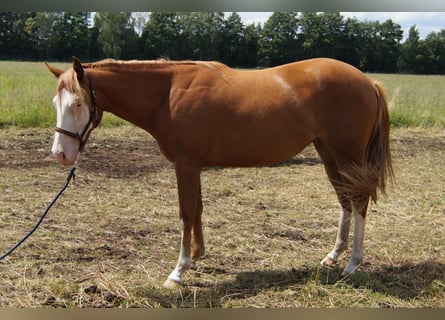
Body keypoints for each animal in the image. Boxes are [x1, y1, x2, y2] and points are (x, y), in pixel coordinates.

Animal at [46, 57, 392, 288]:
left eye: (78, 104)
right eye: (55, 103)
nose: (61, 154)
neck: (168, 94)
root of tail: (368, 82)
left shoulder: (186, 164)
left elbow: (186, 213)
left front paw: (178, 271)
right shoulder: (194, 164)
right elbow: (198, 209)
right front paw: (197, 255)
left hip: (348, 156)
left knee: (359, 202)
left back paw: (352, 264)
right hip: (328, 153)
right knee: (345, 200)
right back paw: (333, 256)